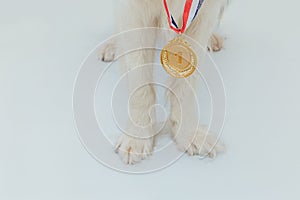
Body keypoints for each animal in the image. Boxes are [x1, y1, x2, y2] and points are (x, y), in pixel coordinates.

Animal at [99, 0, 226, 164]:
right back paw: (112, 46)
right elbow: (140, 84)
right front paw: (137, 137)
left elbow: (185, 86)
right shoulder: (133, 12)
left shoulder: (203, 14)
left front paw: (190, 133)